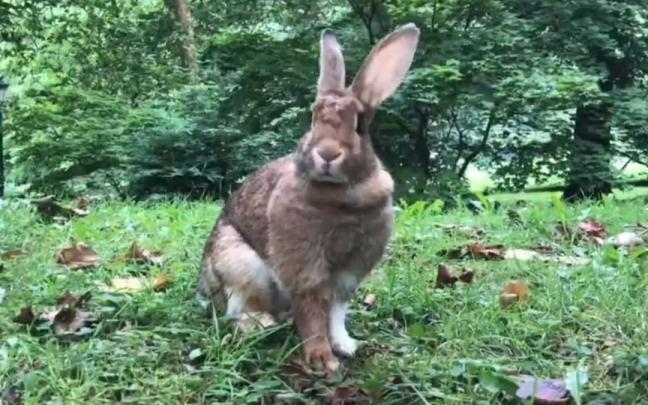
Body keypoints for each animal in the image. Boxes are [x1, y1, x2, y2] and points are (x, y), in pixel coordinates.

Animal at [197, 23, 420, 372]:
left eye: (360, 124)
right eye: (313, 117)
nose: (327, 154)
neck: (342, 195)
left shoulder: (351, 269)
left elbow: (336, 310)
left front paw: (345, 345)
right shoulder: (303, 263)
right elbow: (312, 307)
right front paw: (322, 359)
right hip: (241, 266)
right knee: (235, 311)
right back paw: (261, 324)